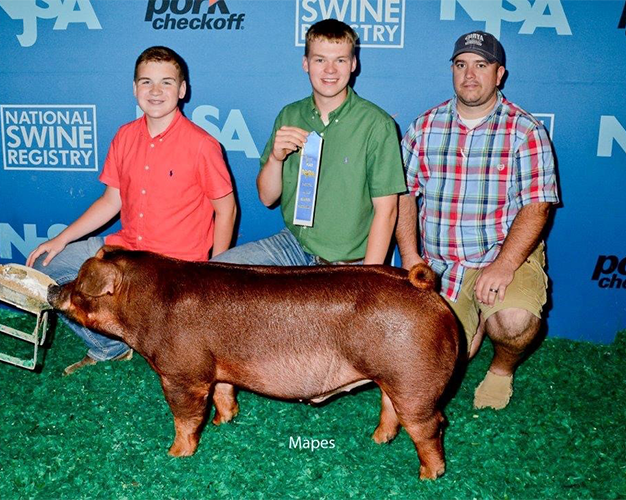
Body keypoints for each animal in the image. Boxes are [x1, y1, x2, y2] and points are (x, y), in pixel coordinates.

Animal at [47, 246, 459, 479]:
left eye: (81, 285)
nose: (53, 289)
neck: (143, 302)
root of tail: (423, 288)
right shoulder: (218, 367)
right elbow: (224, 394)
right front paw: (223, 422)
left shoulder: (181, 373)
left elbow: (185, 417)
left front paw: (175, 454)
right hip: (397, 377)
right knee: (391, 409)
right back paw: (377, 440)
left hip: (414, 380)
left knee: (431, 425)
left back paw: (428, 476)